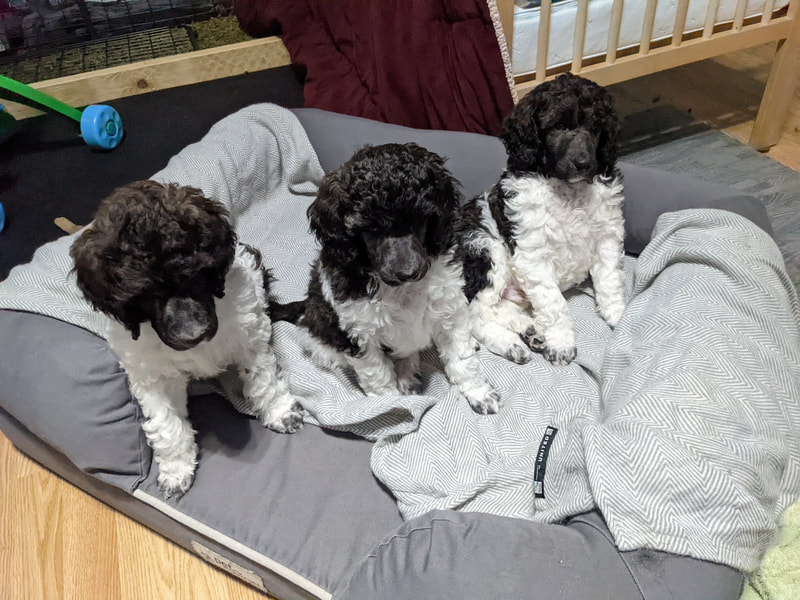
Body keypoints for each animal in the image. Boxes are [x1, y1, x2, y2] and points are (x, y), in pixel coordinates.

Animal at [70, 180, 304, 497]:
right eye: (143, 294)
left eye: (194, 274)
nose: (193, 334)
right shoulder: (149, 374)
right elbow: (166, 424)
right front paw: (176, 470)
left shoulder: (249, 332)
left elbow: (262, 377)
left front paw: (280, 412)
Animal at [296, 143, 502, 415]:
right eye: (371, 229)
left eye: (420, 219)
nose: (407, 272)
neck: (401, 290)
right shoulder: (359, 334)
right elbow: (378, 376)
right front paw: (392, 407)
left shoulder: (450, 307)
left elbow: (462, 358)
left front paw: (479, 392)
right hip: (320, 331)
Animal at [461, 72, 626, 366]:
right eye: (557, 126)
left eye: (596, 128)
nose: (583, 164)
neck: (568, 190)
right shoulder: (533, 255)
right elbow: (554, 302)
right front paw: (561, 343)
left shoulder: (607, 236)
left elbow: (610, 279)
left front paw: (620, 314)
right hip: (485, 252)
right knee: (476, 315)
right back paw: (511, 344)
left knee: (497, 310)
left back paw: (530, 330)